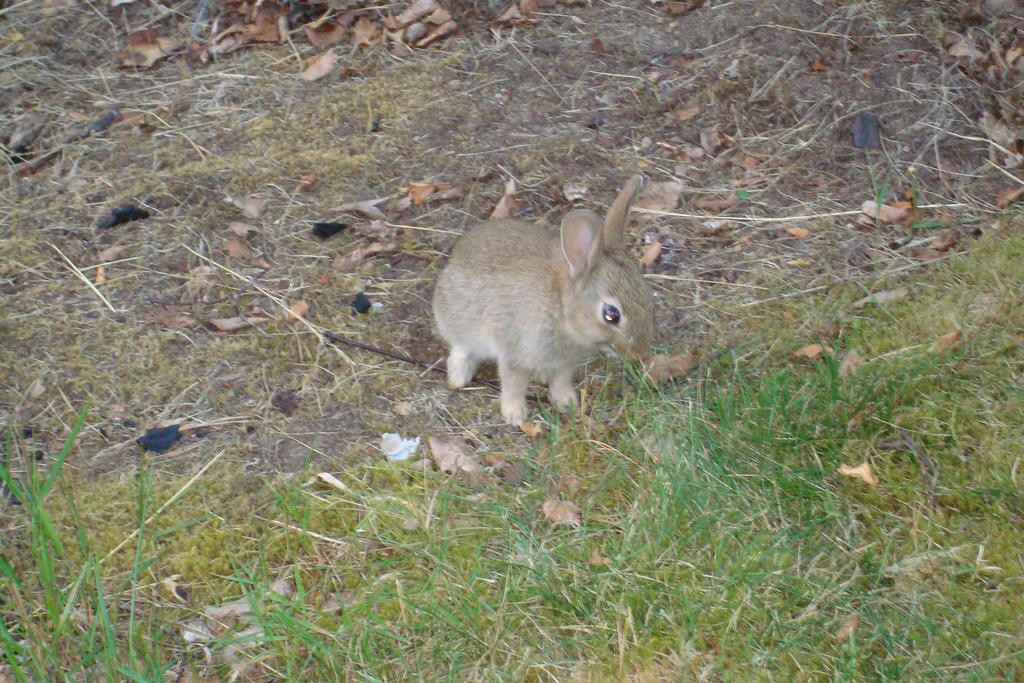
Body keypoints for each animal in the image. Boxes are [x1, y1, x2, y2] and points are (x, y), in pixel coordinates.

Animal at [432, 174, 654, 425]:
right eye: (611, 314)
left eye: (647, 295)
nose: (640, 353)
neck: (561, 307)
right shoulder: (514, 351)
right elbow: (514, 383)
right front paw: (515, 415)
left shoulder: (565, 361)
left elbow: (561, 380)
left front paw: (567, 403)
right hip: (460, 325)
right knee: (461, 349)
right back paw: (459, 377)